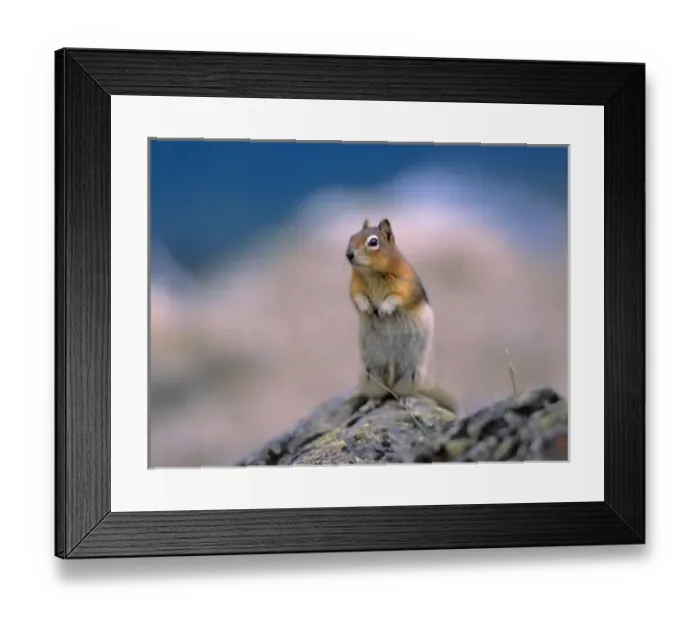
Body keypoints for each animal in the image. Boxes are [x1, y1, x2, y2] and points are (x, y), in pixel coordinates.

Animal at [343, 217, 463, 417]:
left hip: (412, 374)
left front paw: (384, 310)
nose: (348, 254)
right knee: (379, 395)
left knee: (401, 394)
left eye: (373, 242)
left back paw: (407, 400)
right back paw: (369, 404)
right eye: (352, 236)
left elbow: (397, 298)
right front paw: (367, 308)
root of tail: (391, 384)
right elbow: (357, 297)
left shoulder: (406, 285)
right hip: (369, 374)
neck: (372, 273)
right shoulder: (355, 286)